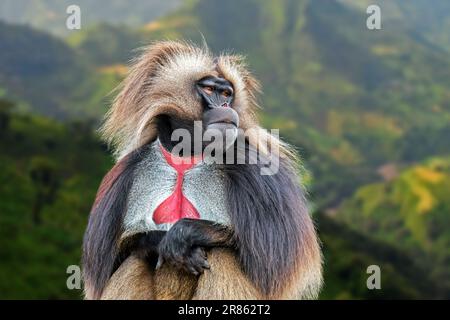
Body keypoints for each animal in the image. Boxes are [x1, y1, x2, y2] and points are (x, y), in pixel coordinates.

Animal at [82, 40, 322, 300]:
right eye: (208, 89)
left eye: (227, 93)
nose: (225, 105)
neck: (186, 155)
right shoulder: (125, 171)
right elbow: (110, 262)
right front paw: (161, 239)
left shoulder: (258, 168)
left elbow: (272, 257)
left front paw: (182, 234)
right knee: (133, 260)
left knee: (222, 255)